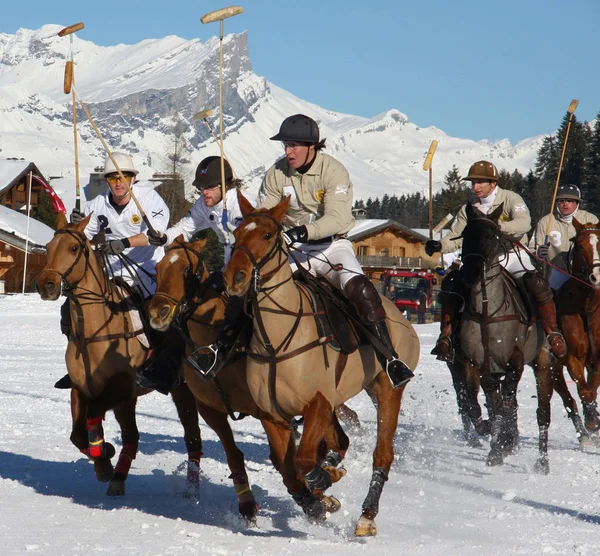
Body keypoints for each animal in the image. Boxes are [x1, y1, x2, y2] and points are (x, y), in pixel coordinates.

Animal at [36, 215, 203, 498]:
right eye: (47, 247)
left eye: (73, 248)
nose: (45, 284)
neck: (92, 332)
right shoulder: (81, 387)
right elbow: (77, 435)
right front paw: (103, 458)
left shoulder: (122, 389)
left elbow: (94, 416)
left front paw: (104, 457)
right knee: (132, 436)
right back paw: (118, 476)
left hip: (182, 389)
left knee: (192, 435)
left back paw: (191, 488)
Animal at [147, 238, 350, 520]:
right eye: (158, 269)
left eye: (187, 270)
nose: (158, 313)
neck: (215, 346)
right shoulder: (210, 409)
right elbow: (234, 454)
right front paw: (246, 504)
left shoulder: (270, 411)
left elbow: (287, 461)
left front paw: (317, 497)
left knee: (334, 441)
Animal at [218, 191, 420, 536]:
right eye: (237, 233)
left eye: (268, 235)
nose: (235, 278)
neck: (277, 341)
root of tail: (400, 317)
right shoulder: (272, 415)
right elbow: (287, 467)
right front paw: (316, 502)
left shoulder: (318, 403)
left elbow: (301, 462)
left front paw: (324, 483)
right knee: (339, 442)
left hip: (387, 389)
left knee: (382, 453)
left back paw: (367, 515)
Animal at [460, 202, 576, 472]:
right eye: (466, 235)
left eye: (493, 236)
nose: (471, 272)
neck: (486, 312)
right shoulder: (478, 363)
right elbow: (488, 403)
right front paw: (496, 445)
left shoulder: (515, 360)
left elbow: (507, 401)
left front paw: (503, 440)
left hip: (544, 363)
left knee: (543, 413)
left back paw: (542, 462)